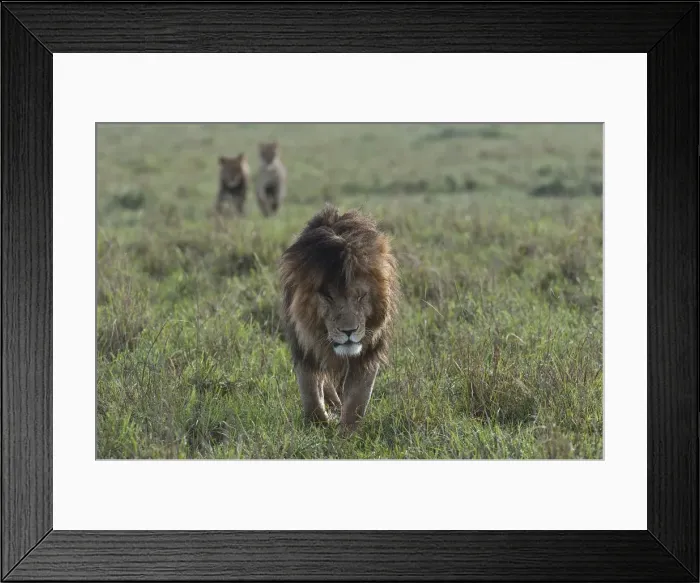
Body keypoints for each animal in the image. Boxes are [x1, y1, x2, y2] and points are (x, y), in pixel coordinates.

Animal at [278, 204, 399, 432]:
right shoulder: (303, 346)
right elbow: (311, 395)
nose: (349, 331)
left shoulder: (368, 351)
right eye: (328, 296)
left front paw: (347, 433)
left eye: (360, 296)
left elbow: (357, 401)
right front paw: (318, 425)